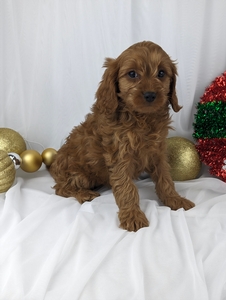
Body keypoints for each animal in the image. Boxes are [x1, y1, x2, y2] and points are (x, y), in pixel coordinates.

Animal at [49, 41, 194, 231]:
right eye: (132, 74)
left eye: (161, 73)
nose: (150, 95)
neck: (142, 118)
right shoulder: (119, 156)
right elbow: (126, 188)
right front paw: (132, 215)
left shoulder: (157, 153)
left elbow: (165, 179)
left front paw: (175, 199)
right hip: (79, 175)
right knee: (60, 188)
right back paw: (84, 194)